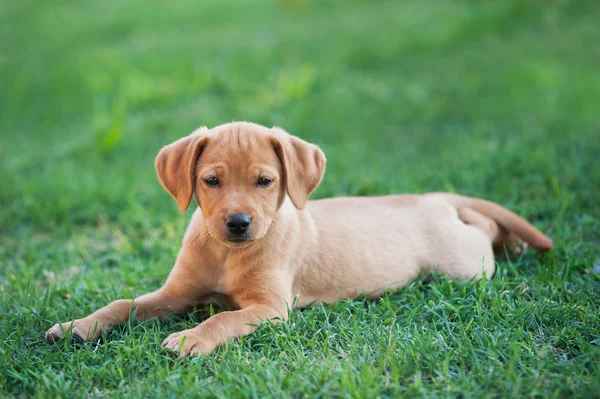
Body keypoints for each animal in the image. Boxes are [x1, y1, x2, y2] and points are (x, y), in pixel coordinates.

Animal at [47, 121, 552, 356]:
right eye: (211, 181)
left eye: (265, 182)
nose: (238, 222)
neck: (226, 253)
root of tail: (432, 196)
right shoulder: (176, 293)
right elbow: (122, 304)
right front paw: (77, 326)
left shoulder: (270, 309)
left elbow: (222, 318)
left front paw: (191, 339)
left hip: (463, 267)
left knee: (483, 233)